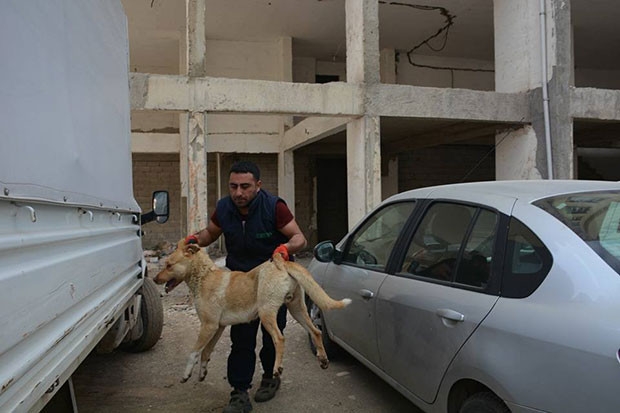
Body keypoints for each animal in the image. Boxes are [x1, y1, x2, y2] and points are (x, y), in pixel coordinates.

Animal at [153, 240, 351, 383]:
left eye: (169, 265)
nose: (154, 279)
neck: (204, 276)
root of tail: (281, 262)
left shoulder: (208, 326)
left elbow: (194, 352)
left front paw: (186, 374)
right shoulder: (217, 327)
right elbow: (206, 352)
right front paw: (202, 372)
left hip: (266, 313)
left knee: (280, 339)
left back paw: (277, 369)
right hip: (297, 309)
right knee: (316, 331)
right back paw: (323, 359)